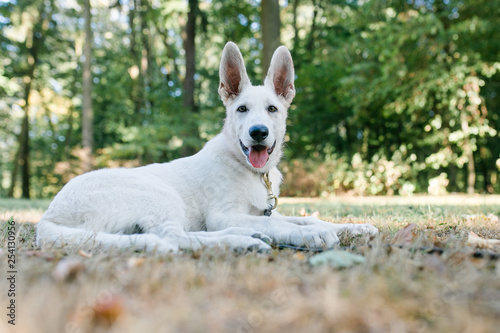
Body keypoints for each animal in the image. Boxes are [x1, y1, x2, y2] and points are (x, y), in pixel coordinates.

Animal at [36, 42, 378, 253]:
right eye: (241, 109)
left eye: (272, 109)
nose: (258, 133)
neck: (248, 170)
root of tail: (47, 219)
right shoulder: (222, 215)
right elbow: (283, 223)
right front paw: (308, 236)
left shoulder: (262, 211)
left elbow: (305, 217)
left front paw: (356, 227)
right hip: (158, 195)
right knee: (171, 237)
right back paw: (243, 242)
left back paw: (248, 236)